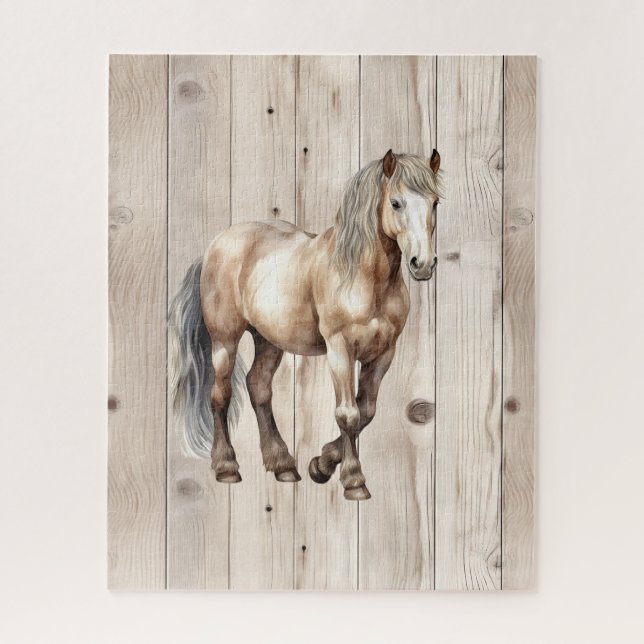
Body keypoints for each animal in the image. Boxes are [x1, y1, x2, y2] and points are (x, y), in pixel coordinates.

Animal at [169, 149, 442, 501]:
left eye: (435, 202)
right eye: (396, 203)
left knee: (258, 387)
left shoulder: (383, 354)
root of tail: (215, 247)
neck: (364, 279)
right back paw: (227, 467)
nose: (423, 264)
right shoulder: (340, 350)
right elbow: (348, 413)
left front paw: (321, 464)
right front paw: (353, 480)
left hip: (269, 340)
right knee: (220, 395)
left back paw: (283, 464)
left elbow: (366, 411)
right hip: (224, 341)